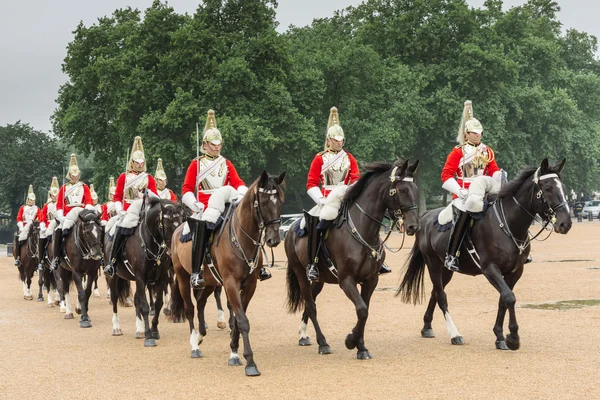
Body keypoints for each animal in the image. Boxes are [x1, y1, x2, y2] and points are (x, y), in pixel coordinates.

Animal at [105, 195, 184, 346]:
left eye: (182, 222)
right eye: (167, 224)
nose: (174, 250)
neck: (150, 243)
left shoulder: (160, 278)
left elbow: (157, 304)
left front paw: (154, 330)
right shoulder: (141, 278)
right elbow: (145, 306)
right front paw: (148, 336)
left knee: (136, 299)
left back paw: (139, 329)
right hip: (113, 276)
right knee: (115, 298)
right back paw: (117, 328)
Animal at [169, 170, 286, 376]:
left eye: (280, 201)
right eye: (263, 202)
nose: (274, 239)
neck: (241, 238)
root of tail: (177, 230)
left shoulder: (249, 285)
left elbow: (239, 320)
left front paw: (234, 352)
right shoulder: (231, 283)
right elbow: (242, 320)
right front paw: (250, 362)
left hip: (210, 281)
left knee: (200, 302)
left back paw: (201, 335)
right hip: (183, 278)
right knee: (190, 308)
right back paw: (194, 346)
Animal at [284, 159, 418, 360]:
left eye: (415, 189)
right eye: (401, 190)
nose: (413, 226)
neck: (363, 230)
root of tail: (292, 228)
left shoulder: (371, 280)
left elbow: (365, 311)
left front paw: (361, 347)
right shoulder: (346, 280)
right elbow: (362, 309)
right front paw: (351, 340)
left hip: (319, 280)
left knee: (311, 302)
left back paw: (304, 336)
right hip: (301, 275)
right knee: (311, 305)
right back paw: (323, 343)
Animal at [398, 159, 572, 350]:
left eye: (563, 187)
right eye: (547, 188)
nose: (565, 223)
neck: (508, 224)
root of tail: (425, 216)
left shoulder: (514, 271)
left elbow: (504, 299)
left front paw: (500, 336)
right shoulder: (490, 269)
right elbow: (509, 297)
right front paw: (513, 337)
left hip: (446, 270)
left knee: (435, 292)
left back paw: (427, 326)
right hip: (433, 265)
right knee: (441, 296)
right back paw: (455, 334)